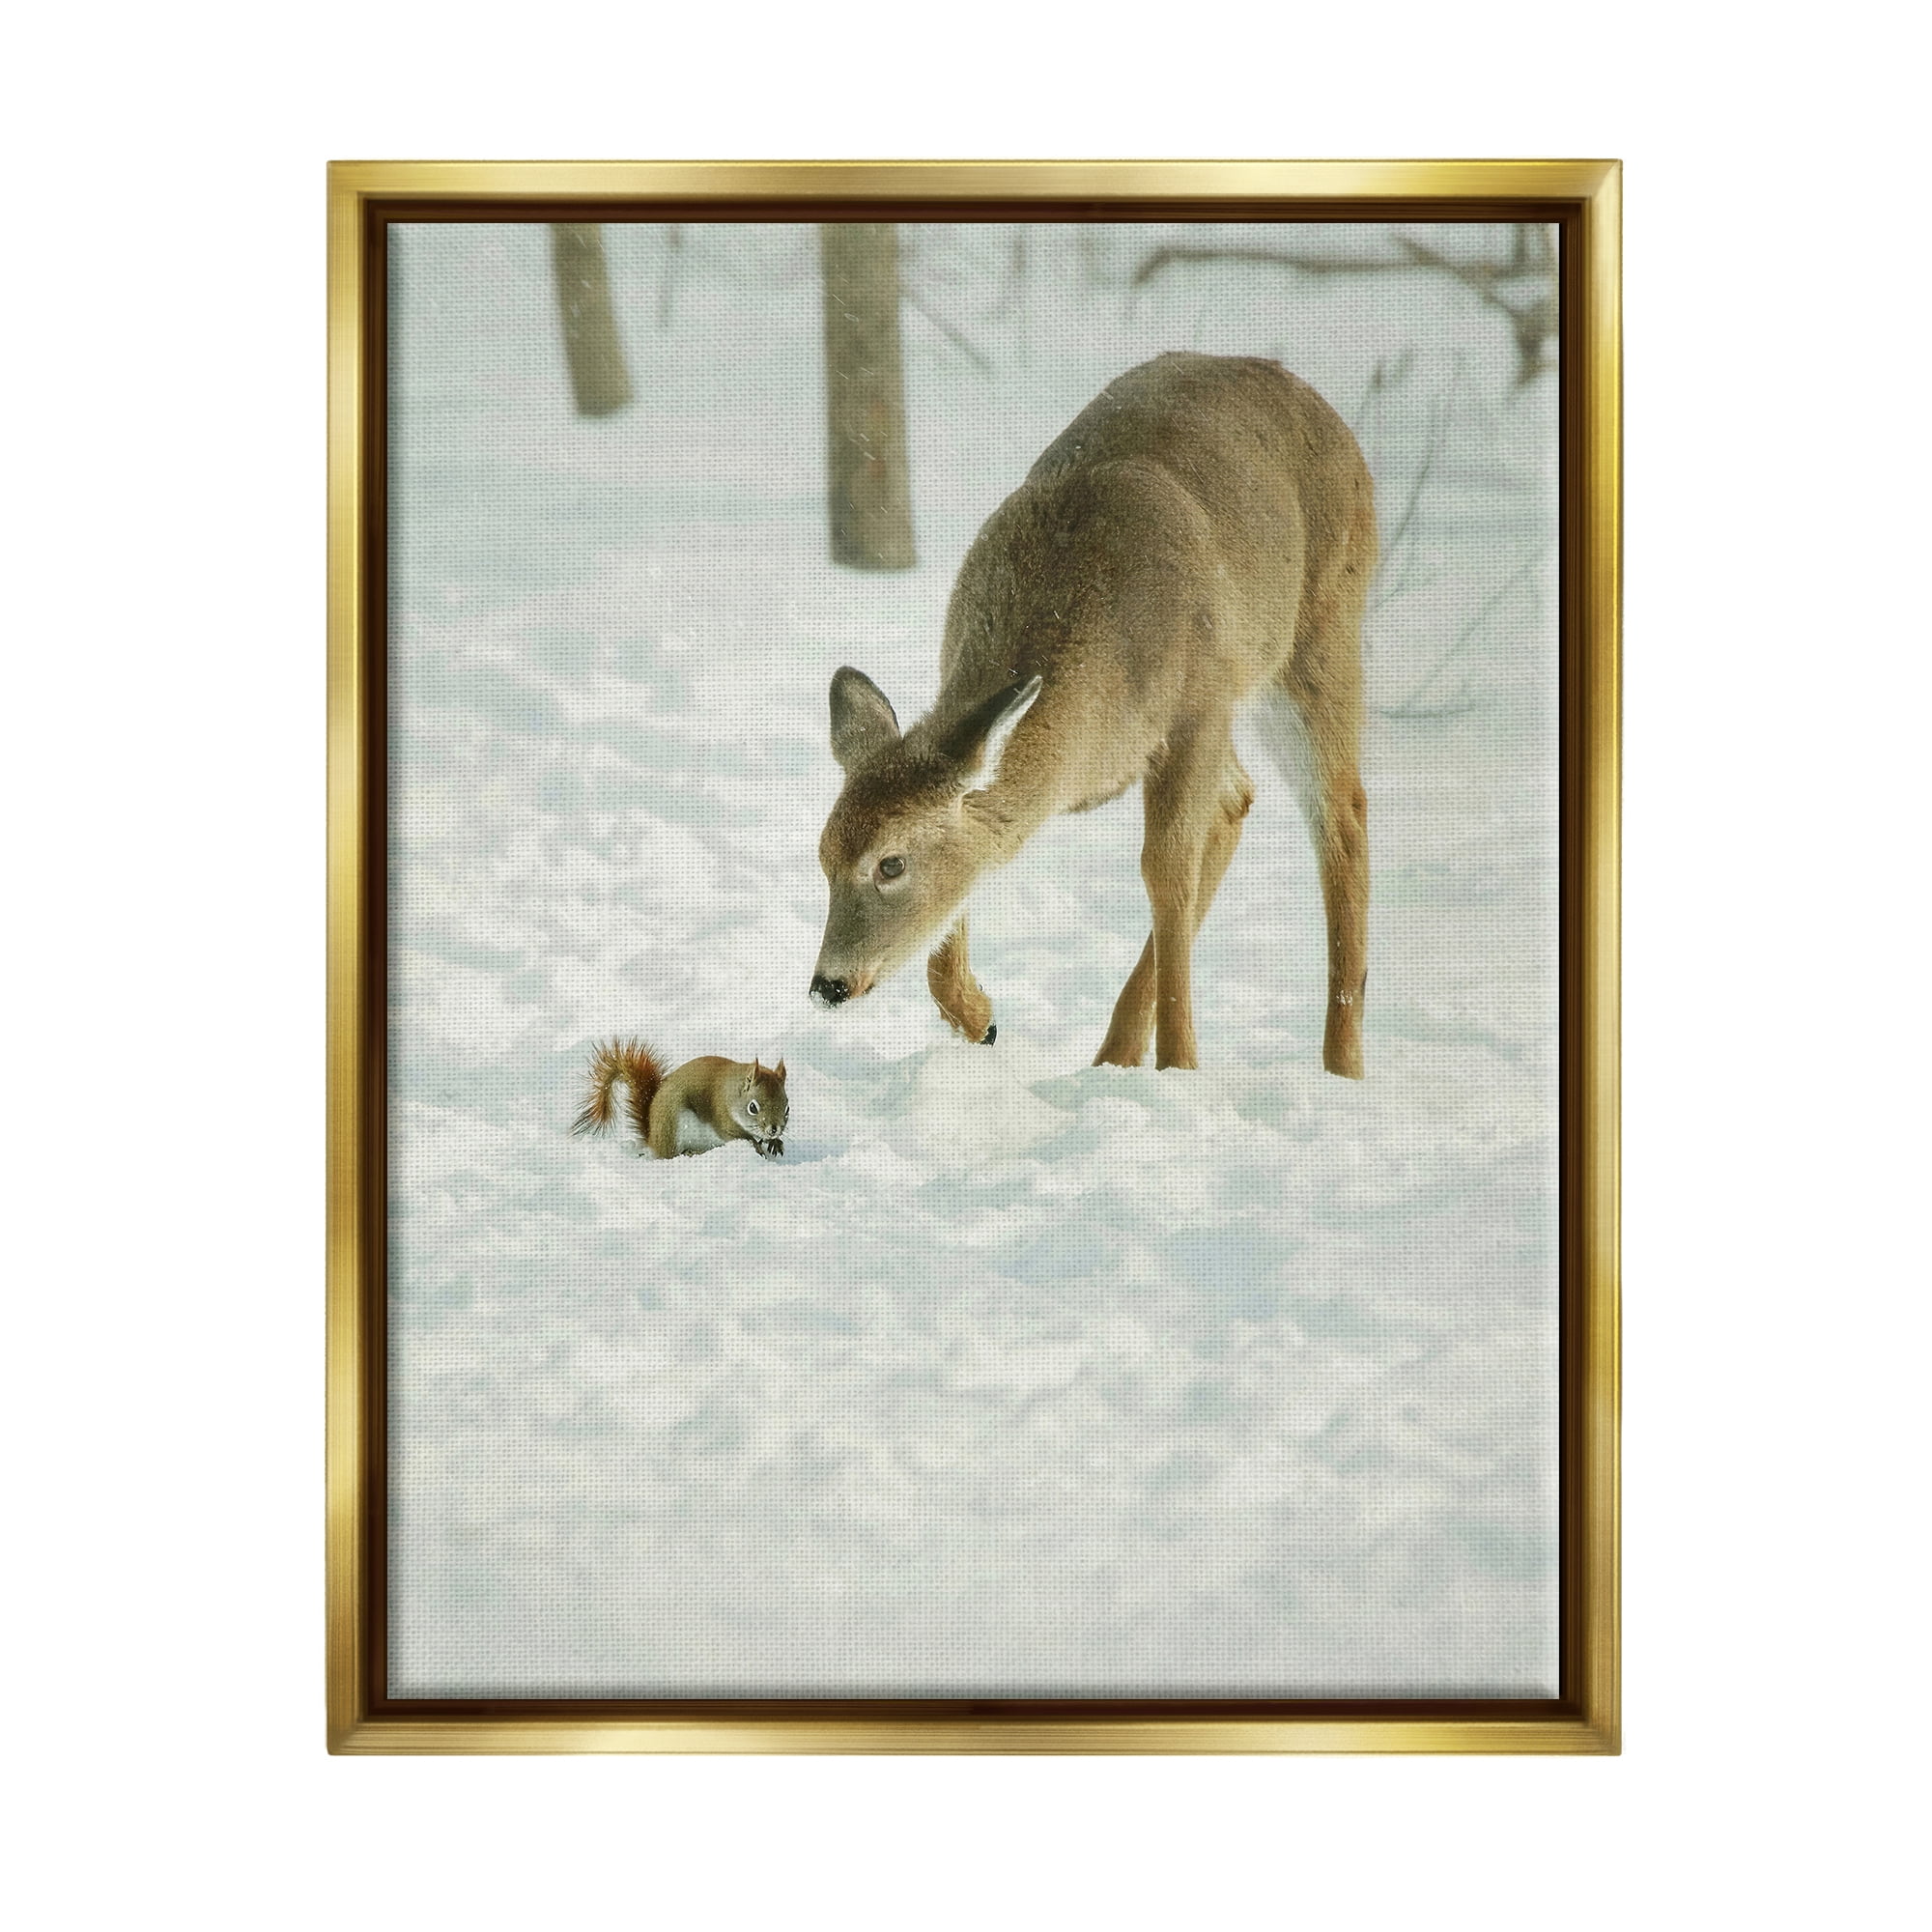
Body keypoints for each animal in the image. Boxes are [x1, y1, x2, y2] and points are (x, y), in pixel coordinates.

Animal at [572, 1039, 788, 1160]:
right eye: (753, 1107)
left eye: (787, 1109)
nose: (774, 1129)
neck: (732, 1093)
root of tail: (653, 1139)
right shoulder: (722, 1118)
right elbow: (738, 1136)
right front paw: (757, 1146)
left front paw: (776, 1142)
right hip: (673, 1124)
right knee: (670, 1155)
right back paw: (691, 1153)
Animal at [809, 351, 1374, 1077]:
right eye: (822, 855)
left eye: (890, 864)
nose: (827, 984)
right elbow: (975, 862)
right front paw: (980, 1019)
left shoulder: (1199, 706)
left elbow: (1165, 874)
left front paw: (1181, 1067)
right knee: (1240, 799)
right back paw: (1113, 1054)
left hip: (1319, 634)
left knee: (1341, 812)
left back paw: (1341, 1065)